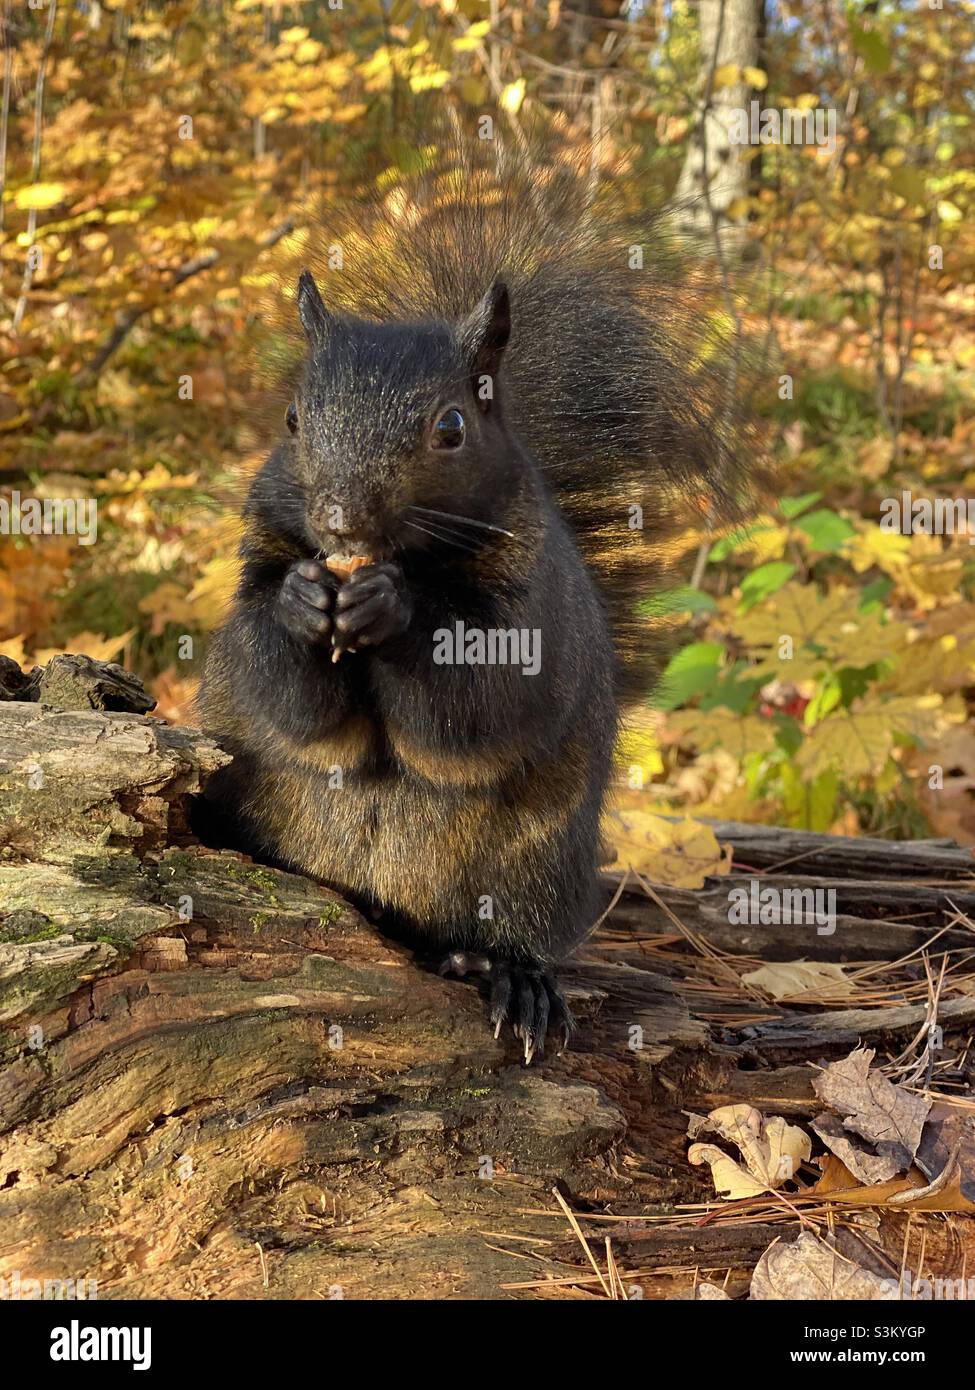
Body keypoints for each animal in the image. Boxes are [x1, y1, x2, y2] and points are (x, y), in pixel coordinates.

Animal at [193, 141, 751, 1056]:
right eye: (293, 419)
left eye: (450, 428)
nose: (341, 522)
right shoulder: (254, 576)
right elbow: (285, 698)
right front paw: (306, 601)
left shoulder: (530, 616)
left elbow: (471, 711)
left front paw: (394, 609)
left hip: (533, 867)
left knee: (509, 931)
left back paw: (508, 978)